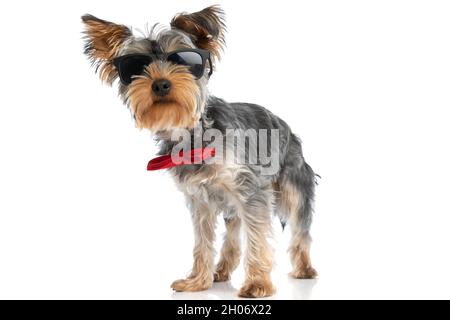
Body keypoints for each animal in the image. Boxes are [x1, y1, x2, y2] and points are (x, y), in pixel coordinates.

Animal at [82, 5, 318, 298]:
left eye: (182, 59)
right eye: (136, 66)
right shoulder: (200, 201)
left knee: (300, 228)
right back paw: (221, 271)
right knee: (233, 232)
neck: (193, 136)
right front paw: (197, 281)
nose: (160, 84)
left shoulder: (251, 192)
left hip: (293, 183)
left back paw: (304, 269)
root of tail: (287, 128)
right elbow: (203, 241)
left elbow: (257, 237)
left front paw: (257, 284)